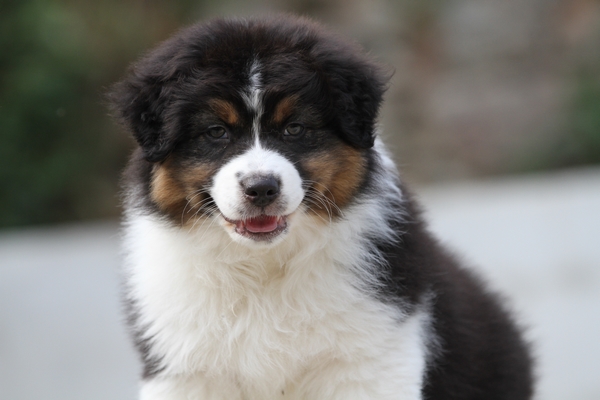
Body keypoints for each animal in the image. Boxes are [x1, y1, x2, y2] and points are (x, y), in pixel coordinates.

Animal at [110, 15, 533, 400]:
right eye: (216, 132)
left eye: (295, 128)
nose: (261, 189)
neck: (263, 268)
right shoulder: (186, 370)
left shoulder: (370, 363)